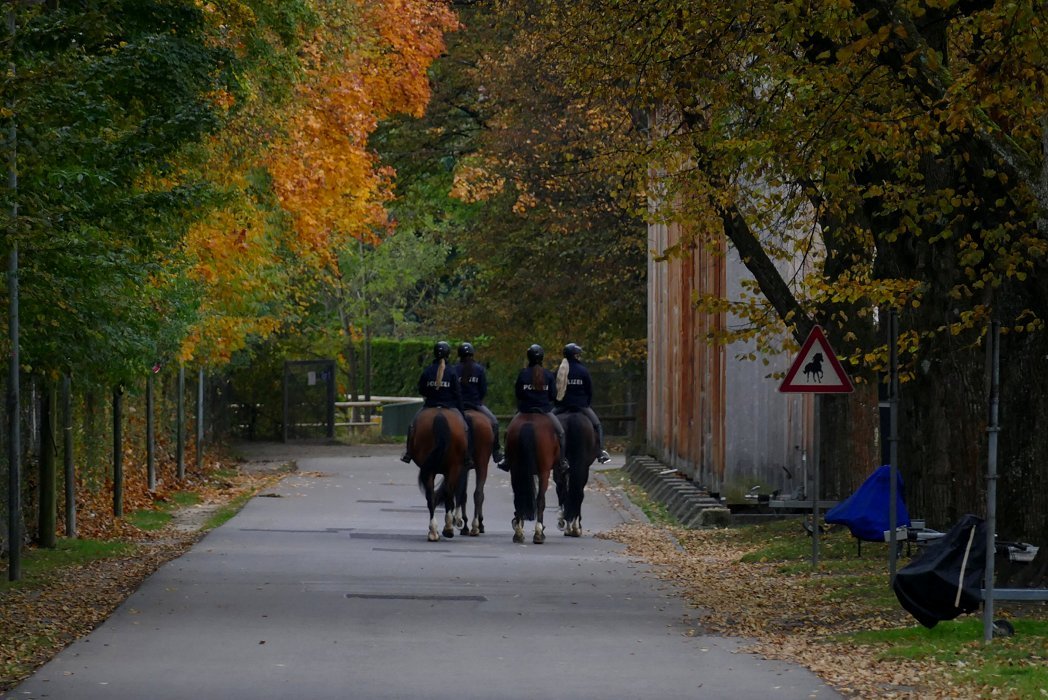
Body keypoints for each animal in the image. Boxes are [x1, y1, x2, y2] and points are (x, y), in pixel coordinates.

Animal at [408, 404, 467, 540]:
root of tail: (440, 416)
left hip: (432, 470)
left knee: (431, 496)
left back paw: (433, 531)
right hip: (453, 467)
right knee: (448, 493)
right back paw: (448, 528)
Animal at [503, 412, 561, 544]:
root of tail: (529, 422)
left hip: (516, 471)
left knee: (518, 498)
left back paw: (518, 533)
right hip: (544, 472)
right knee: (540, 499)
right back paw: (538, 533)